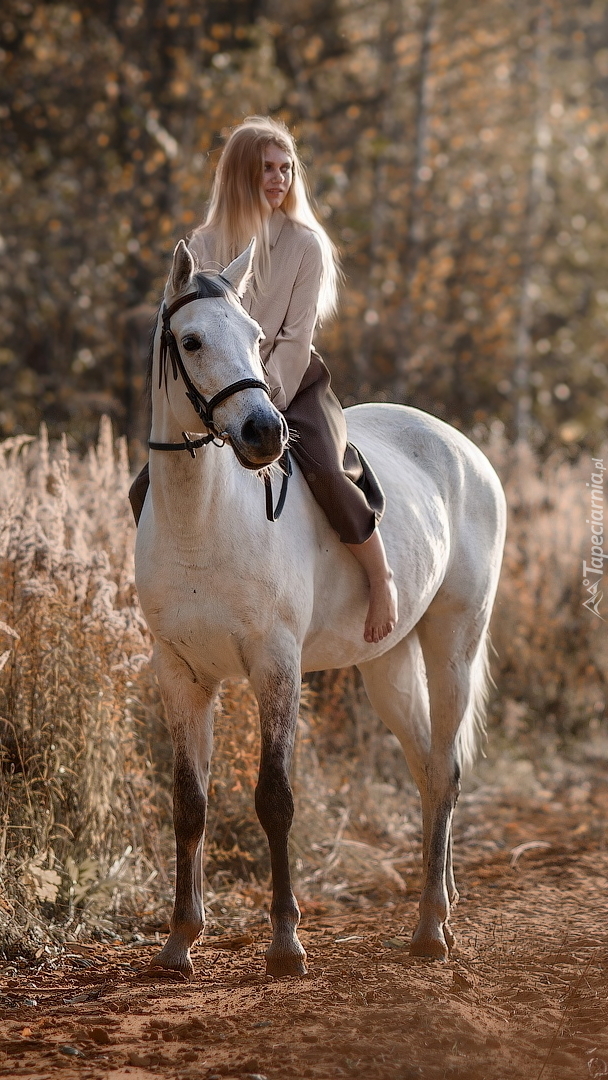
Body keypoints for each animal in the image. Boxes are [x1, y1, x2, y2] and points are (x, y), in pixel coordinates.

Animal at [135, 240, 507, 984]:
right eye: (191, 340)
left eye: (256, 337)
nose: (263, 432)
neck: (202, 520)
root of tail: (466, 449)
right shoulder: (181, 674)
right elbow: (189, 803)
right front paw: (179, 941)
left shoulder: (276, 666)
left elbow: (275, 798)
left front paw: (285, 942)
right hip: (387, 664)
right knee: (428, 769)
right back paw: (443, 904)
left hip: (453, 644)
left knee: (446, 768)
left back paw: (430, 929)